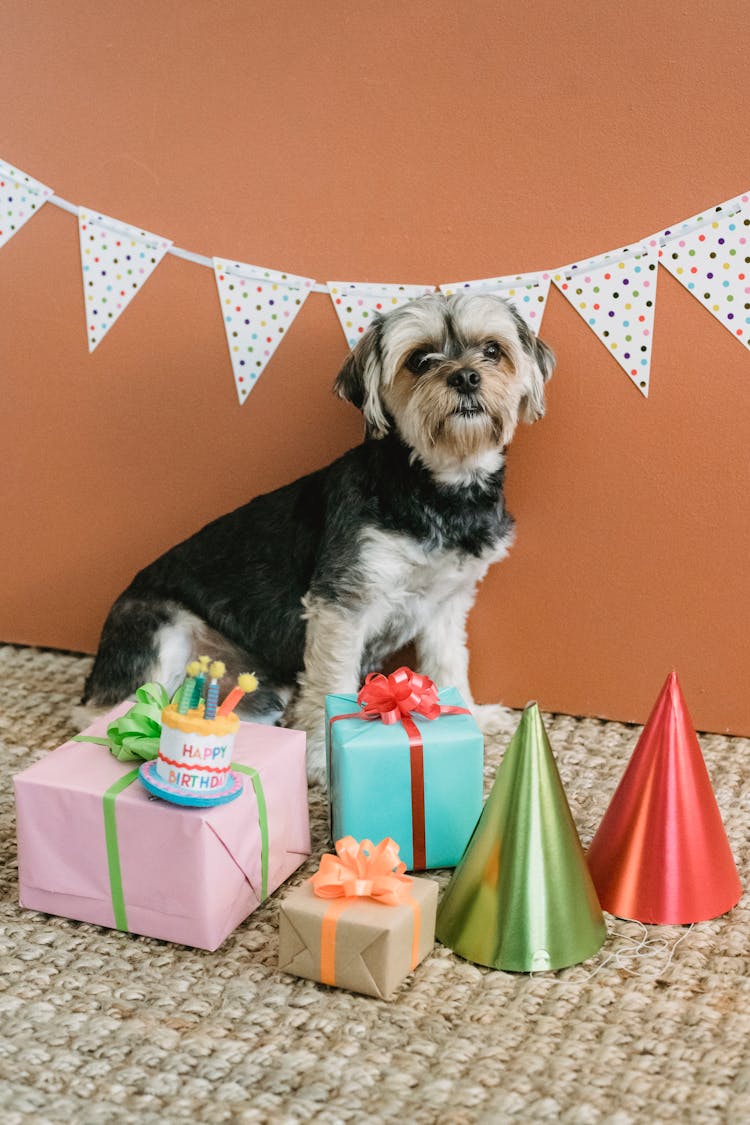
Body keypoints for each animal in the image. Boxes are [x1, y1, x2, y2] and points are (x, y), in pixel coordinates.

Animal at [82, 290, 555, 783]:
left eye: (493, 351)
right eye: (419, 360)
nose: (465, 376)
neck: (437, 488)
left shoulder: (446, 602)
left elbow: (449, 663)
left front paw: (471, 715)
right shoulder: (342, 602)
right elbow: (332, 682)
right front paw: (321, 762)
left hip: (257, 695)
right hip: (157, 628)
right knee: (110, 711)